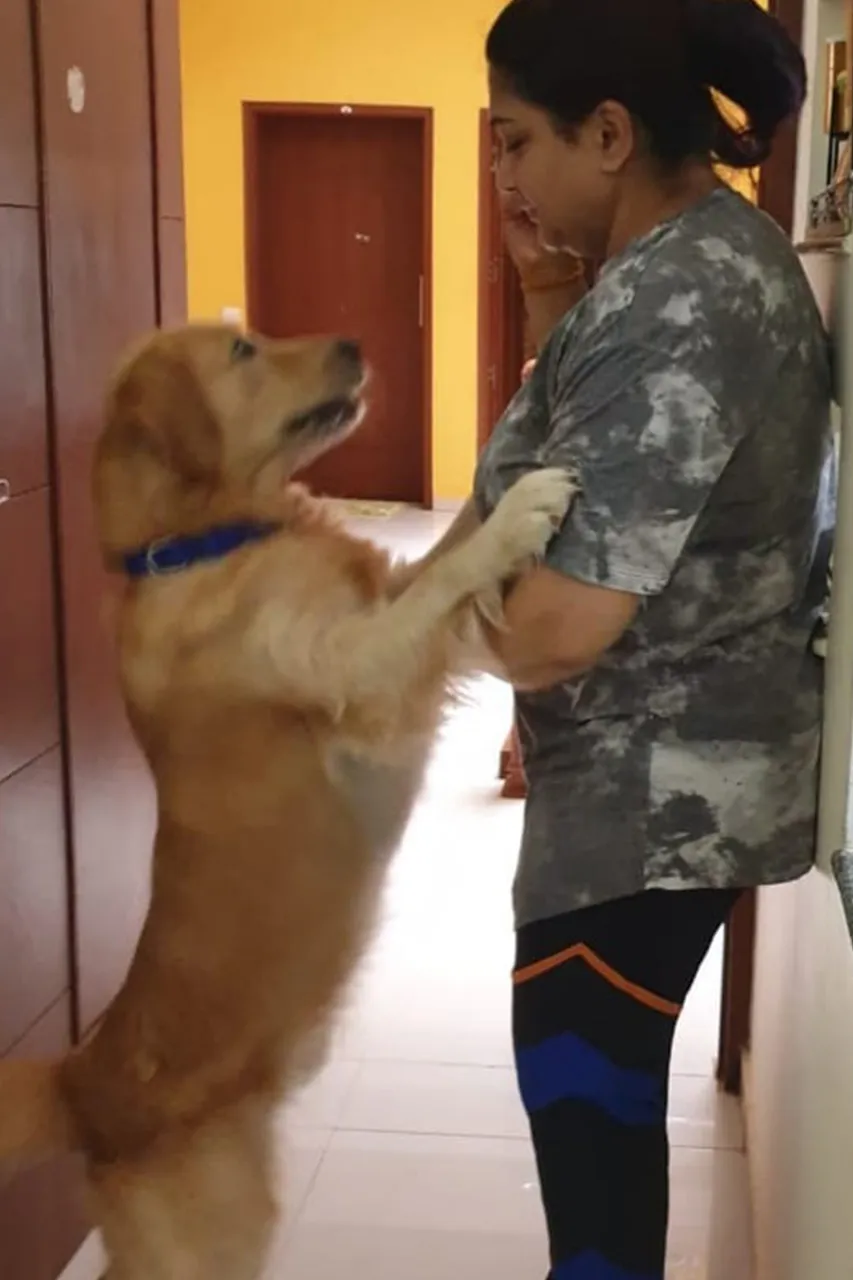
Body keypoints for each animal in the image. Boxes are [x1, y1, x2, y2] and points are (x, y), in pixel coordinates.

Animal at [0, 325, 571, 1274]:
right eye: (242, 349)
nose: (352, 343)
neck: (204, 543)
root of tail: (82, 1084)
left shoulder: (400, 626)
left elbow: (435, 568)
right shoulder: (359, 669)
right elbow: (439, 580)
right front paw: (520, 509)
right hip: (215, 1234)